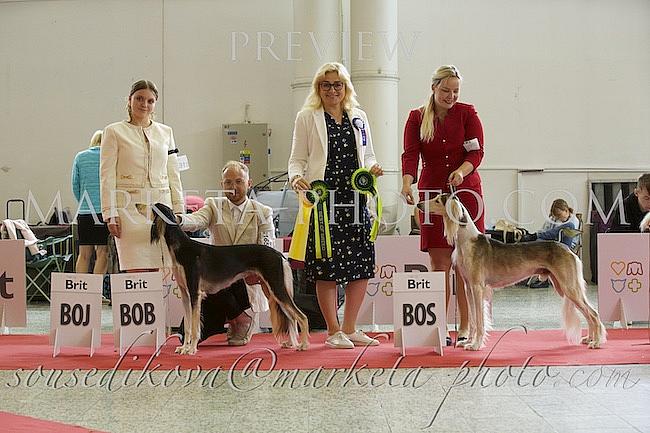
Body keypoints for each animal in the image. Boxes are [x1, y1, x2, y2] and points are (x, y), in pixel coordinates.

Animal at [147, 203, 309, 355]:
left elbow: (194, 326)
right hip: (271, 289)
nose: (144, 205)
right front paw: (184, 348)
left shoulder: (195, 293)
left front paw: (191, 349)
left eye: (154, 208)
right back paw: (290, 343)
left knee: (301, 316)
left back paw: (304, 345)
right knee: (292, 317)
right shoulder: (185, 294)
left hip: (277, 287)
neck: (182, 248)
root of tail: (278, 254)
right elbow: (187, 326)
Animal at [417, 194, 606, 351]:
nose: (419, 204)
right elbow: (472, 320)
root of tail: (568, 249)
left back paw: (596, 342)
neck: (467, 241)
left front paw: (476, 345)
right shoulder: (468, 287)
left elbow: (479, 320)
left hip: (569, 287)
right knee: (589, 314)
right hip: (566, 286)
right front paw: (468, 341)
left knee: (594, 313)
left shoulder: (478, 287)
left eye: (437, 200)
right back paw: (589, 339)